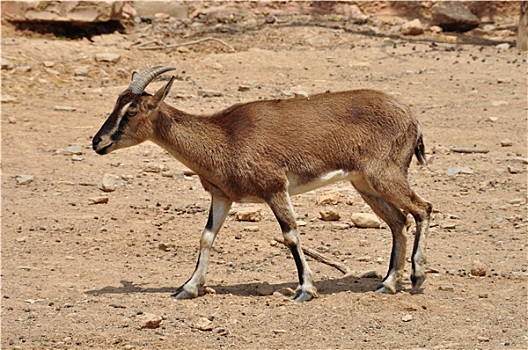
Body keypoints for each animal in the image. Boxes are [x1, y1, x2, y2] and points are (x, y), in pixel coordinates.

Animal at [94, 65, 434, 300]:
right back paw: (387, 284)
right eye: (116, 103)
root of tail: (411, 117)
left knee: (423, 208)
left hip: (385, 175)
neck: (225, 136)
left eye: (132, 110)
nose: (98, 142)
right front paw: (188, 288)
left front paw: (305, 289)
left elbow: (290, 235)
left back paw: (417, 277)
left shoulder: (274, 188)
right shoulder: (222, 196)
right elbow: (207, 237)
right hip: (364, 184)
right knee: (398, 221)